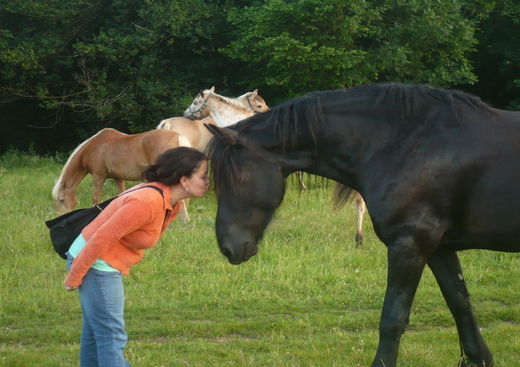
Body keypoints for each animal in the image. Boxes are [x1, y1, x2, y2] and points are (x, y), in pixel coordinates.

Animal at [51, 129, 191, 220]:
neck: (94, 147)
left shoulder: (98, 176)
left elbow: (96, 199)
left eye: (61, 200)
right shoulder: (118, 178)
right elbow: (120, 195)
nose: (59, 216)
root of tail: (178, 136)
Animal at [206, 83, 520, 367]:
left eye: (236, 179)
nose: (228, 247)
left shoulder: (409, 244)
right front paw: (478, 358)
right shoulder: (438, 247)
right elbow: (459, 301)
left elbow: (393, 317)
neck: (405, 144)